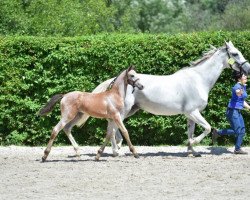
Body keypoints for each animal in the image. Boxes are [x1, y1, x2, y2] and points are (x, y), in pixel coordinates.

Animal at [70, 41, 250, 157]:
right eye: (235, 53)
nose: (247, 69)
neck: (198, 80)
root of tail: (115, 80)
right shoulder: (193, 112)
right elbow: (206, 128)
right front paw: (192, 144)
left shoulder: (190, 115)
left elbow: (191, 132)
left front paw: (192, 152)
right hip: (123, 110)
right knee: (113, 127)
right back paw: (116, 151)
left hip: (130, 110)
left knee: (113, 126)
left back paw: (117, 149)